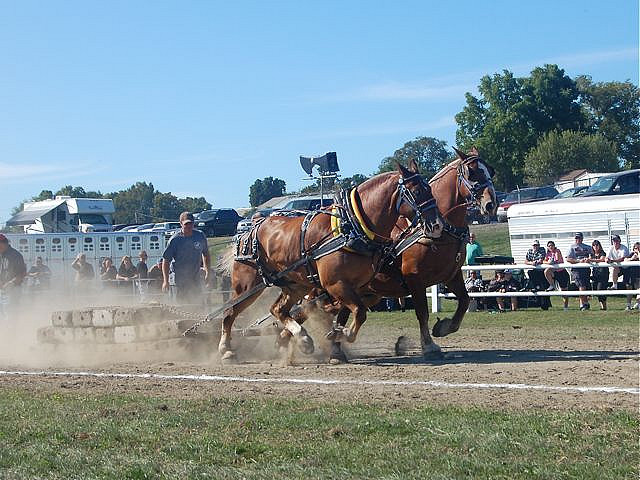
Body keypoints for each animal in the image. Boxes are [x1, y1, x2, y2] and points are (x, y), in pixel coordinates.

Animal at [220, 160, 440, 360]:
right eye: (417, 192)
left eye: (430, 188)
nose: (437, 225)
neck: (351, 227)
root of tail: (250, 229)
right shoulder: (335, 284)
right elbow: (359, 312)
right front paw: (342, 334)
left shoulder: (355, 287)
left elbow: (348, 313)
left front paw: (336, 335)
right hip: (247, 287)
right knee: (229, 312)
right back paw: (226, 349)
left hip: (295, 285)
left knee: (278, 309)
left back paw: (302, 338)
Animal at [328, 148, 498, 362]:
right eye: (471, 173)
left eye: (490, 170)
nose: (491, 204)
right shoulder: (415, 279)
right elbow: (422, 313)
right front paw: (429, 346)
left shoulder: (452, 275)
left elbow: (464, 301)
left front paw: (442, 328)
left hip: (363, 291)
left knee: (344, 312)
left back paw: (336, 347)